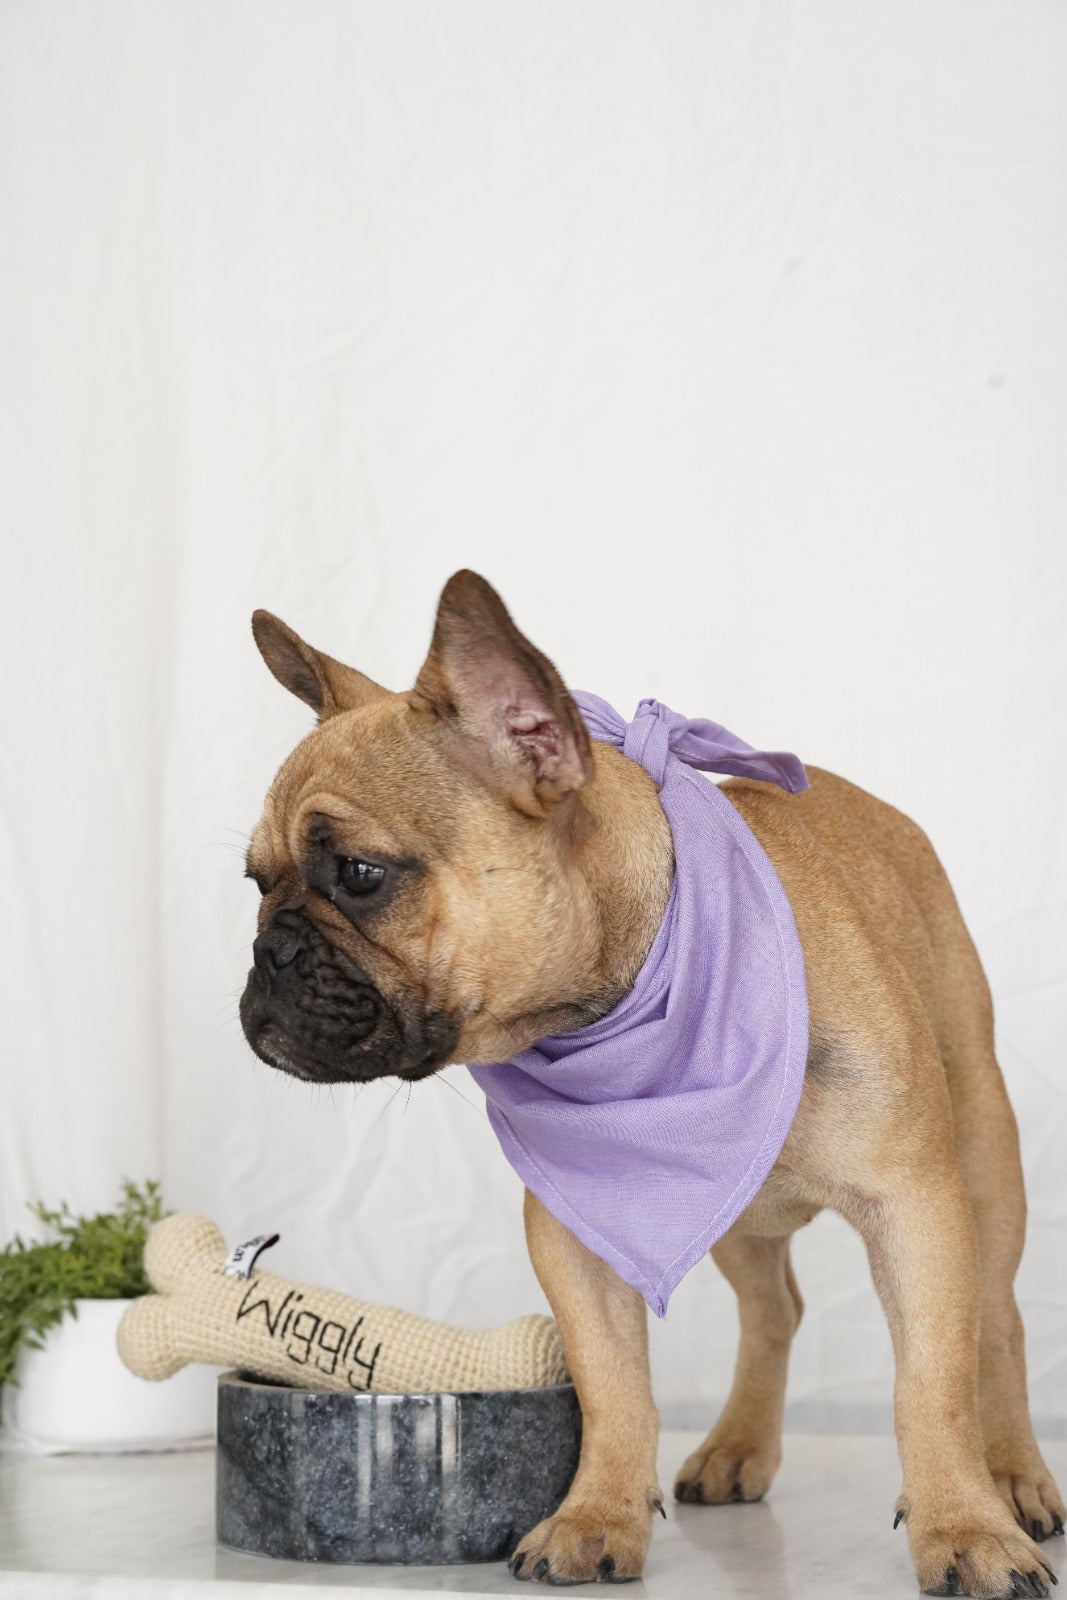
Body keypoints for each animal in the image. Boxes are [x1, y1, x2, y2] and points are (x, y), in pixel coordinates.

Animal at [238, 569, 1062, 1593]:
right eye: (253, 882)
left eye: (359, 874)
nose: (267, 952)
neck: (628, 996)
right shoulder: (580, 1237)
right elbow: (613, 1385)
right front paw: (595, 1516)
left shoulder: (913, 1206)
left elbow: (931, 1382)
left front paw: (963, 1526)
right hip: (738, 1216)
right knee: (774, 1309)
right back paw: (738, 1447)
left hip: (982, 1159)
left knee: (995, 1322)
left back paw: (1014, 1477)